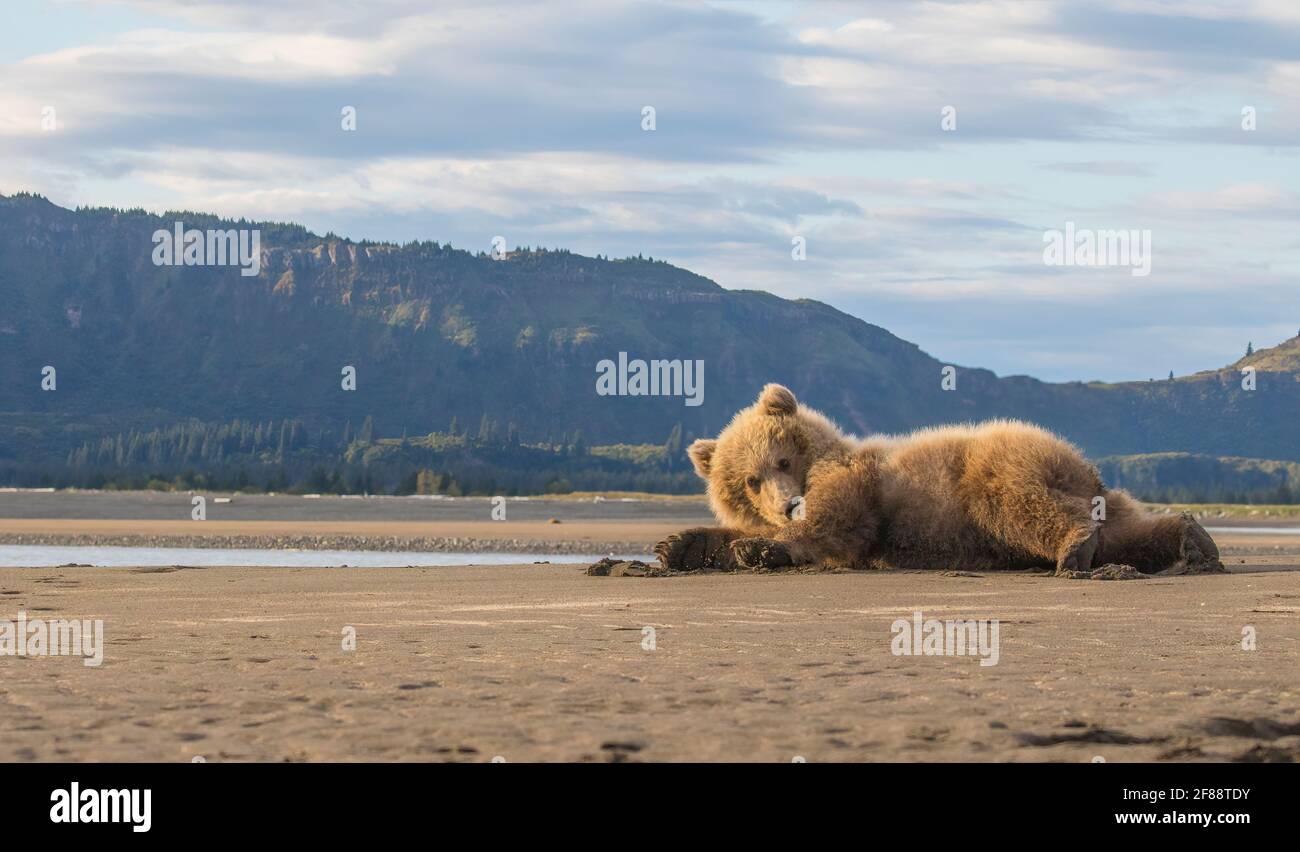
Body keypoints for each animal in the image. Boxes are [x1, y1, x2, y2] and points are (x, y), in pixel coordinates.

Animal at [655, 387, 1222, 580]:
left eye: (782, 458)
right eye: (749, 480)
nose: (789, 504)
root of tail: (1078, 461)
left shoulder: (862, 486)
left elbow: (839, 525)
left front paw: (764, 549)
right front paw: (677, 545)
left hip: (994, 469)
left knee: (1020, 507)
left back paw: (1073, 549)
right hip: (1097, 493)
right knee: (1127, 532)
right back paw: (1191, 540)